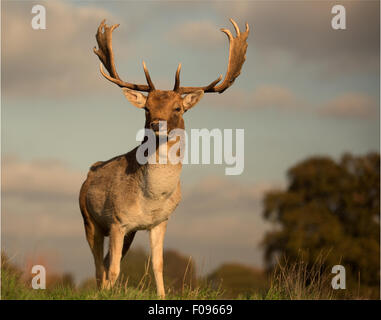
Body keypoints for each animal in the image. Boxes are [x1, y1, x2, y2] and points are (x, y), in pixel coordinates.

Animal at [78, 17, 248, 298]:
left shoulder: (160, 222)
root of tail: (89, 173)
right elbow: (113, 270)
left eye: (178, 108)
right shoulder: (117, 220)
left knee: (104, 261)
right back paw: (100, 290)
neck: (152, 199)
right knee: (98, 264)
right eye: (147, 108)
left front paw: (161, 295)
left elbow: (157, 265)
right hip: (89, 218)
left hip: (127, 232)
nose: (157, 124)